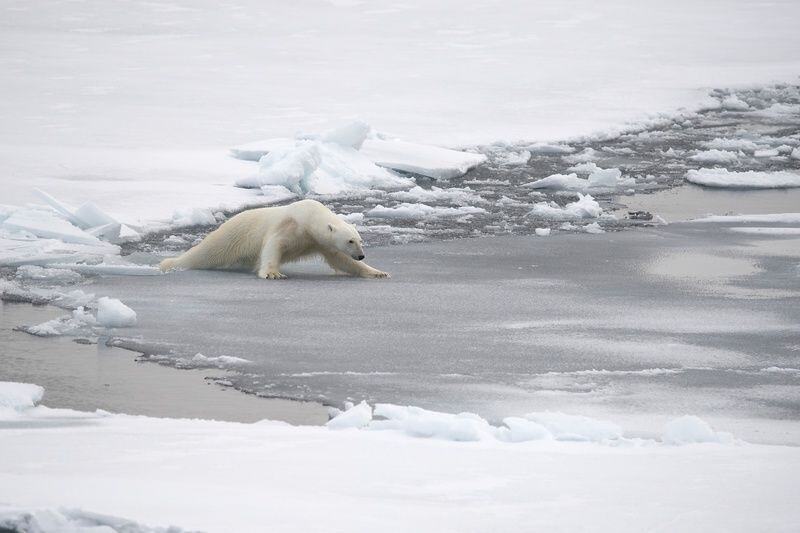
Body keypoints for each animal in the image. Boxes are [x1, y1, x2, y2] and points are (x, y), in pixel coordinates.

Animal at [159, 199, 389, 280]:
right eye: (350, 241)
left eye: (360, 240)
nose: (361, 255)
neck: (308, 217)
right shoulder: (288, 225)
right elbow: (273, 246)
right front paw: (273, 273)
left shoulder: (319, 242)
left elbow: (340, 260)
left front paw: (378, 272)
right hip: (232, 235)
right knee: (207, 252)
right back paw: (169, 263)